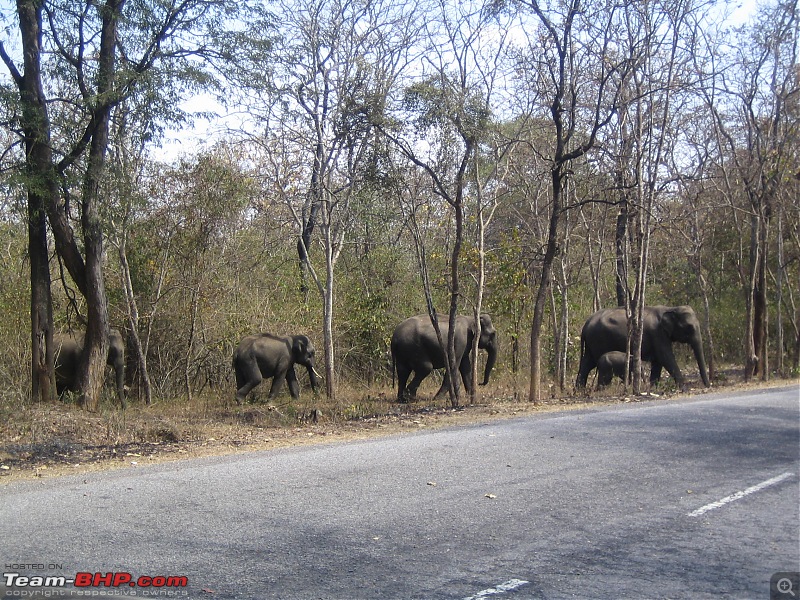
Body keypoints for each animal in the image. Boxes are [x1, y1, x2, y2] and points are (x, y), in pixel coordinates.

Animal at [576, 304, 712, 390]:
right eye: (689, 327)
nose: (708, 386)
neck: (670, 308)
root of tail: (586, 325)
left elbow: (658, 362)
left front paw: (653, 388)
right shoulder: (657, 333)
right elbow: (666, 357)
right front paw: (684, 388)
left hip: (592, 343)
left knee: (587, 363)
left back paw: (579, 390)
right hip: (599, 340)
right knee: (592, 364)